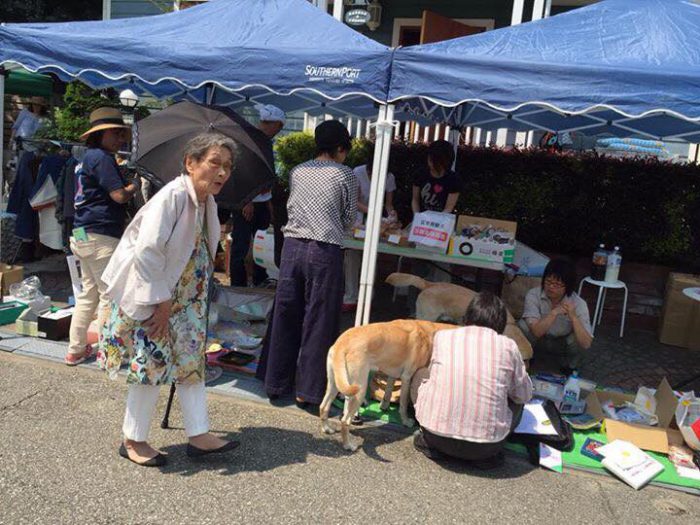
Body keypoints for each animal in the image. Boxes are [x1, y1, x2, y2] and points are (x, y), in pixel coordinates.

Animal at [322, 320, 454, 450]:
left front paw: (384, 406)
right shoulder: (407, 377)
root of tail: (342, 342)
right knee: (345, 421)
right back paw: (348, 445)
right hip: (359, 390)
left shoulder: (392, 374)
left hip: (334, 384)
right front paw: (406, 421)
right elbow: (403, 404)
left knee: (324, 407)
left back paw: (327, 428)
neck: (430, 331)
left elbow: (388, 391)